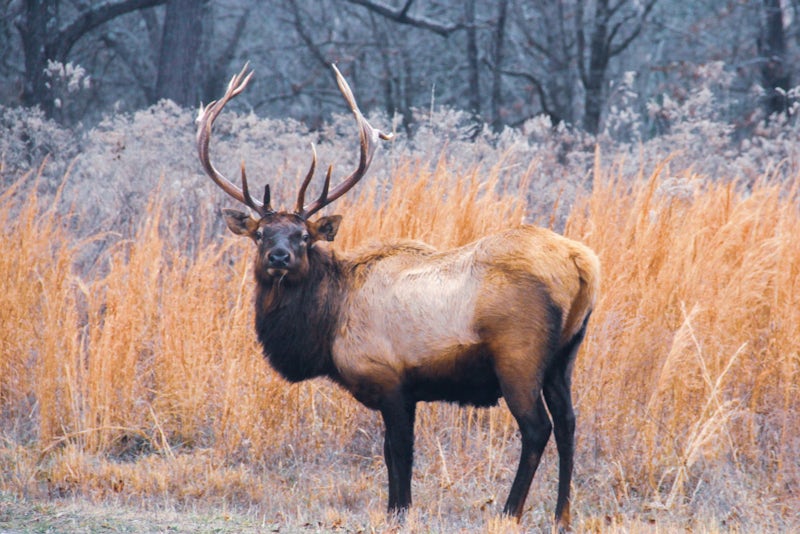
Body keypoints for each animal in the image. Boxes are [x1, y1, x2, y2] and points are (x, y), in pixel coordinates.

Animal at [196, 64, 600, 532]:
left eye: (303, 236)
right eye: (260, 234)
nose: (279, 257)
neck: (328, 326)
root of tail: (583, 263)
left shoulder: (388, 379)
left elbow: (398, 455)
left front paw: (400, 511)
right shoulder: (408, 391)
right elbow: (394, 455)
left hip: (519, 355)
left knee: (537, 428)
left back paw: (509, 512)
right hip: (565, 354)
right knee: (569, 423)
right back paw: (562, 515)